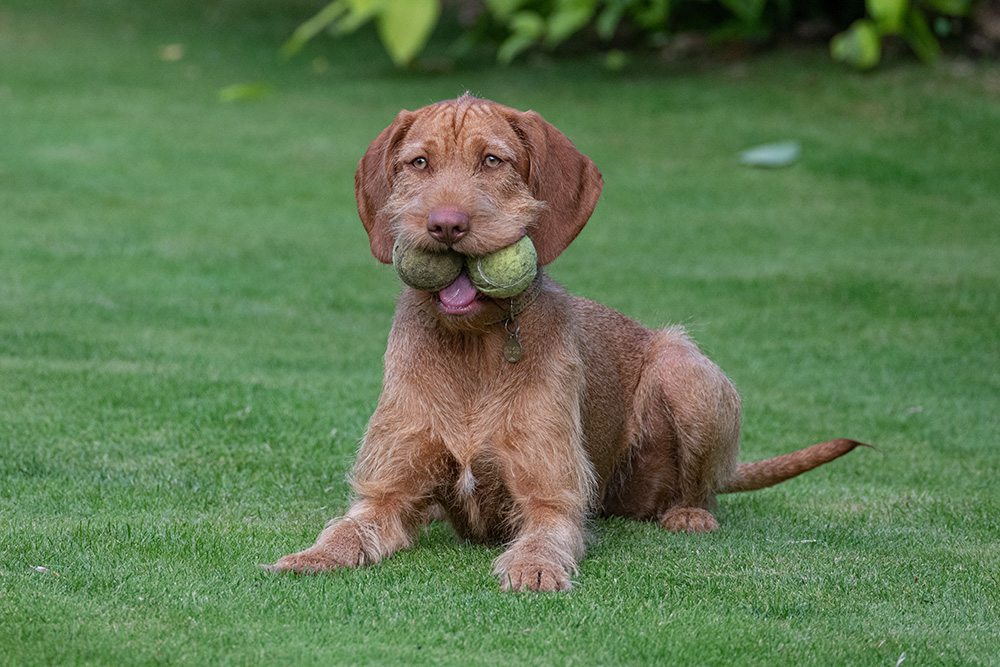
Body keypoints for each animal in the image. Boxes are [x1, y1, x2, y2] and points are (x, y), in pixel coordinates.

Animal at [268, 95, 868, 596]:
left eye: (493, 161)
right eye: (418, 163)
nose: (446, 225)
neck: (473, 345)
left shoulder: (552, 500)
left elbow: (543, 536)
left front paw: (533, 568)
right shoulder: (386, 492)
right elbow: (348, 529)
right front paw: (311, 556)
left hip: (686, 372)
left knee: (701, 486)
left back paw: (688, 513)